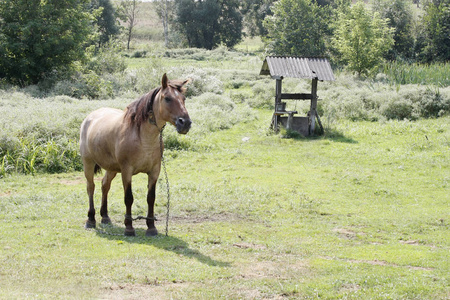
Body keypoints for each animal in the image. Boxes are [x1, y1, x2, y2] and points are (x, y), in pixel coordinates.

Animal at [79, 73, 192, 237]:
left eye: (183, 99)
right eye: (167, 98)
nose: (185, 123)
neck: (142, 137)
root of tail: (90, 117)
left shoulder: (154, 171)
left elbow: (151, 198)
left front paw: (151, 227)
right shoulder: (127, 171)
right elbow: (128, 198)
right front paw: (129, 228)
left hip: (112, 168)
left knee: (105, 185)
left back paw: (105, 217)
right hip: (88, 162)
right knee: (91, 187)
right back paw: (91, 220)